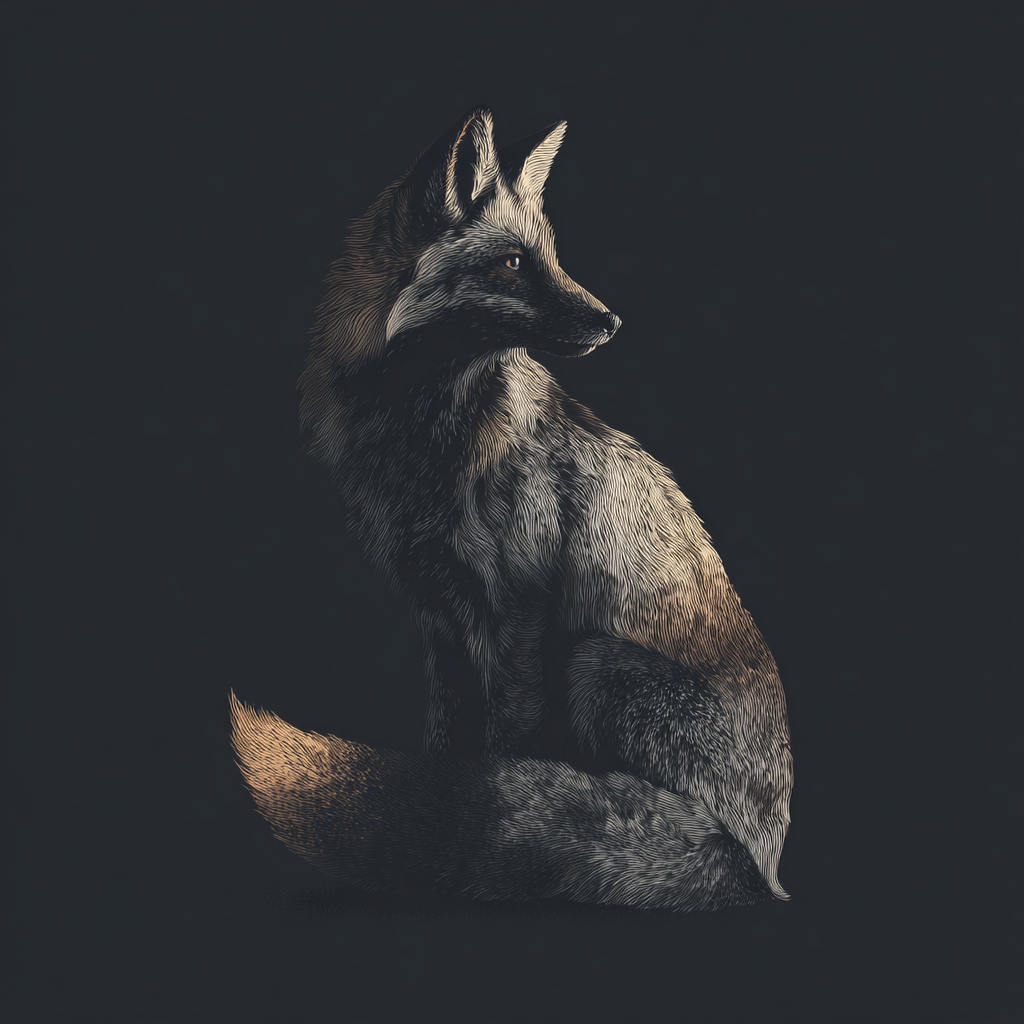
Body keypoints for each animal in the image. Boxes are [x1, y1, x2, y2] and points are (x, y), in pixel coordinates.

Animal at [230, 108, 793, 911]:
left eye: (550, 257)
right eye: (513, 263)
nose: (611, 320)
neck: (423, 445)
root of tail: (767, 864)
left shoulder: (517, 607)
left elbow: (502, 759)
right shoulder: (435, 609)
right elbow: (450, 745)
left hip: (595, 659)